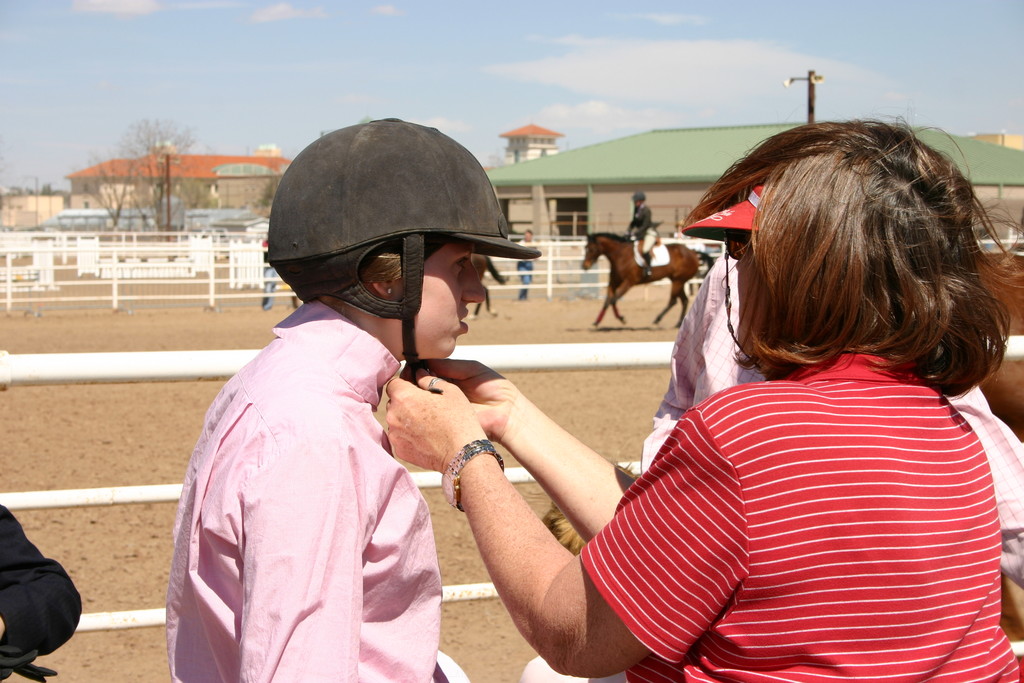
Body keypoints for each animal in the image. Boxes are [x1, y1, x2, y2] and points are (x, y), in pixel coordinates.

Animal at [581, 232, 716, 327]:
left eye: (591, 249)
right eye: (585, 247)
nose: (584, 266)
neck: (620, 255)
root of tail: (693, 252)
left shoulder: (628, 283)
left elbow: (614, 300)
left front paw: (622, 318)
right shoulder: (613, 283)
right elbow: (607, 301)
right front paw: (597, 321)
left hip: (678, 281)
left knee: (673, 301)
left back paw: (657, 319)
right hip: (678, 281)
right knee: (684, 300)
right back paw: (678, 323)